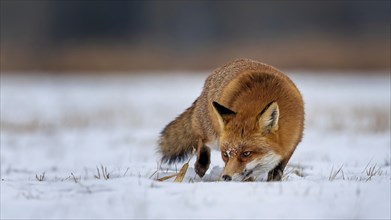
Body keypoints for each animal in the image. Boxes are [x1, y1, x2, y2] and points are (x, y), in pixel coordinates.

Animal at [158, 59, 304, 181]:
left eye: (246, 153)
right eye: (225, 155)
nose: (226, 177)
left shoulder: (290, 144)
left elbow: (276, 172)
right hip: (213, 136)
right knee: (202, 142)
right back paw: (200, 166)